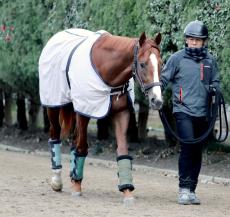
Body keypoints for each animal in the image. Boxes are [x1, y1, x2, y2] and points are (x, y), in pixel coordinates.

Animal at [38, 28, 163, 203]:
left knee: (74, 140)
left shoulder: (121, 113)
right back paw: (57, 180)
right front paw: (77, 187)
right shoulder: (84, 112)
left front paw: (127, 190)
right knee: (55, 135)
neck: (106, 68)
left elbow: (122, 150)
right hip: (55, 106)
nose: (157, 100)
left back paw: (73, 176)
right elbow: (82, 147)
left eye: (161, 64)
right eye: (143, 64)